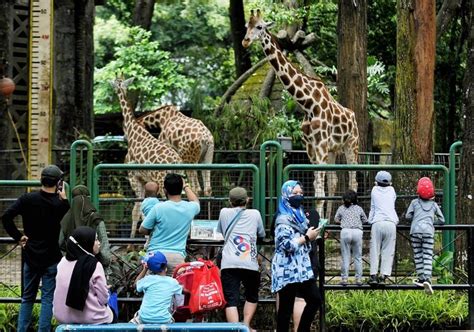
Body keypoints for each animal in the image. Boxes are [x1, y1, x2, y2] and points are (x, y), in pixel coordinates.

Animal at [111, 78, 183, 237]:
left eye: (115, 82)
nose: (112, 84)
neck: (134, 133)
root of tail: (176, 160)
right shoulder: (144, 180)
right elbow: (141, 210)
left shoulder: (134, 178)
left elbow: (138, 210)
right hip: (180, 180)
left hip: (162, 182)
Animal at [244, 9, 360, 220]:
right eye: (246, 26)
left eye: (260, 26)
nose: (245, 41)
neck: (307, 103)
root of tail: (353, 115)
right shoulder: (312, 149)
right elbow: (317, 188)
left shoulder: (320, 147)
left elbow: (319, 191)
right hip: (332, 150)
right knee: (334, 181)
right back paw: (331, 222)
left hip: (352, 145)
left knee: (353, 181)